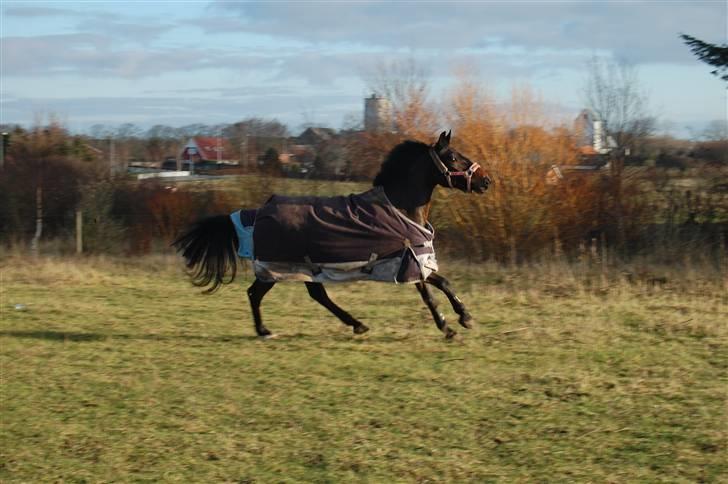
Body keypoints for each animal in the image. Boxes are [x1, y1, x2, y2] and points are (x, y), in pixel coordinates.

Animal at [173, 131, 492, 339]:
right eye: (453, 156)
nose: (486, 180)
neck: (400, 208)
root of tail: (259, 211)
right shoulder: (410, 262)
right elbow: (430, 296)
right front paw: (449, 327)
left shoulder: (415, 262)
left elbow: (445, 283)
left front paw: (465, 318)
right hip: (279, 266)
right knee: (257, 293)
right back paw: (265, 331)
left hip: (304, 268)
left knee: (316, 294)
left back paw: (356, 324)